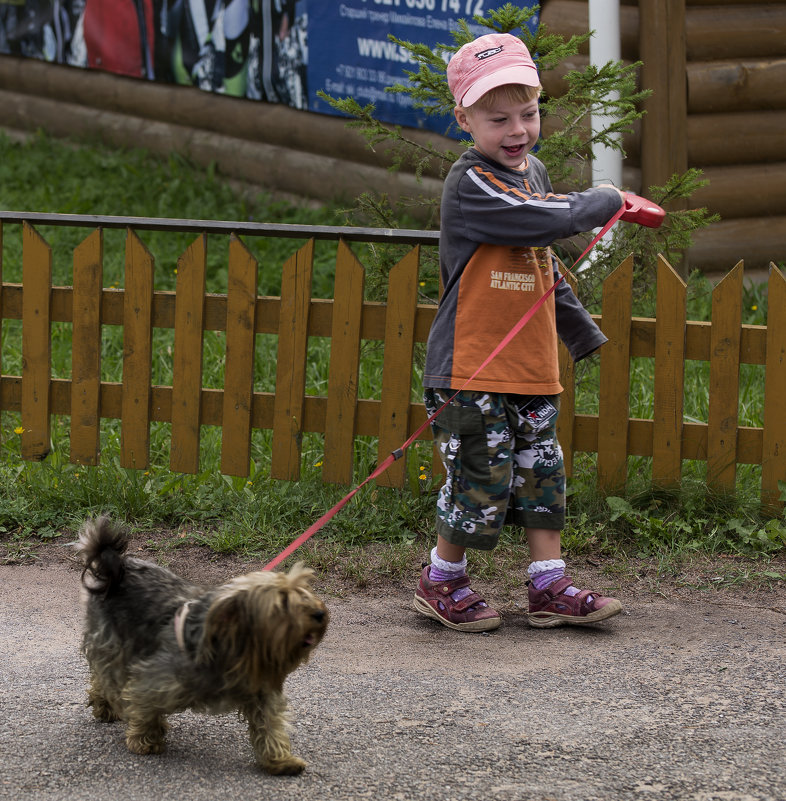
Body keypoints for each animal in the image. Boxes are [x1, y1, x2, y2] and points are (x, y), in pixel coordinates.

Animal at [75, 516, 326, 772]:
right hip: (113, 645)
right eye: (283, 602)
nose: (319, 613)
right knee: (104, 676)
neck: (237, 651)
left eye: (304, 591)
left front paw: (281, 760)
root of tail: (116, 570)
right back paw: (105, 707)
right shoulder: (154, 679)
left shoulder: (260, 691)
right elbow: (144, 705)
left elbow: (270, 725)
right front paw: (145, 741)